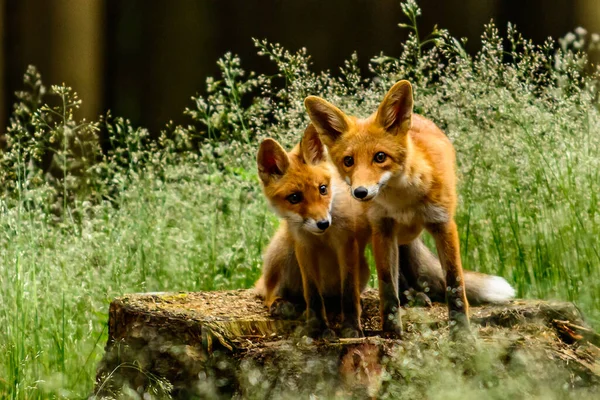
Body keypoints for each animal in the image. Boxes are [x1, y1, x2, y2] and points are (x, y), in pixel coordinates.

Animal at [255, 123, 512, 336]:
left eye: (322, 189)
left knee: (396, 278)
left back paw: (410, 297)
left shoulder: (347, 246)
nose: (322, 223)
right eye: (294, 198)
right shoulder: (304, 246)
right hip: (286, 248)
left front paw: (350, 329)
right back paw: (283, 303)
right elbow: (313, 296)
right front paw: (317, 328)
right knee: (268, 290)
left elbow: (349, 294)